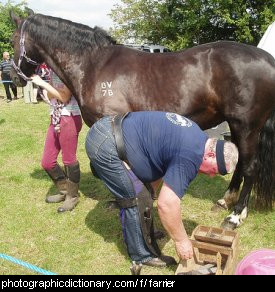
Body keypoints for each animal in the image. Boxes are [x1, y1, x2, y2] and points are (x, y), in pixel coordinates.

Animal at [9, 10, 274, 229]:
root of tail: (267, 59)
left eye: (12, 39)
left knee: (249, 167)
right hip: (237, 126)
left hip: (246, 126)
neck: (95, 64)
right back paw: (225, 201)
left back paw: (235, 216)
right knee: (239, 161)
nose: (15, 76)